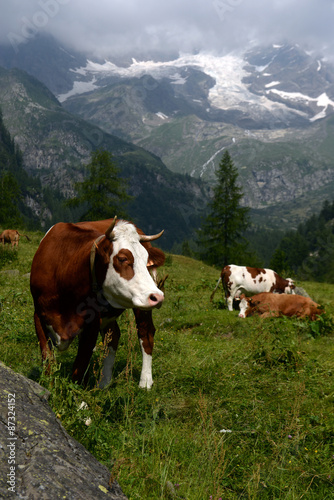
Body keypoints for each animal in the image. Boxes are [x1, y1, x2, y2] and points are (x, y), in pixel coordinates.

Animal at [30, 217, 166, 388]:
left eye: (146, 259)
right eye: (123, 258)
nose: (158, 296)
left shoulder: (92, 323)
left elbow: (80, 366)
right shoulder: (39, 315)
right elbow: (47, 359)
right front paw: (47, 386)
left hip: (142, 308)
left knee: (145, 333)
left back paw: (145, 382)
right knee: (114, 335)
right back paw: (104, 383)